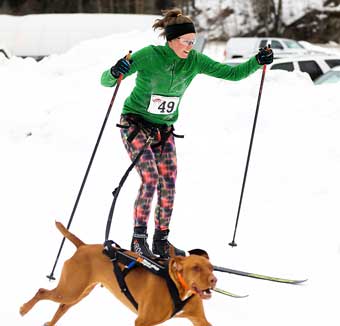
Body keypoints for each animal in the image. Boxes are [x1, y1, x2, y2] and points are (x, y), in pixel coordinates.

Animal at [20, 222, 218, 326]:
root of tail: (83, 246)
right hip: (69, 291)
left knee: (61, 307)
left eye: (211, 267)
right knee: (42, 292)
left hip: (77, 293)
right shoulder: (142, 321)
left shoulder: (200, 320)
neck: (175, 285)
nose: (214, 280)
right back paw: (24, 309)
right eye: (196, 268)